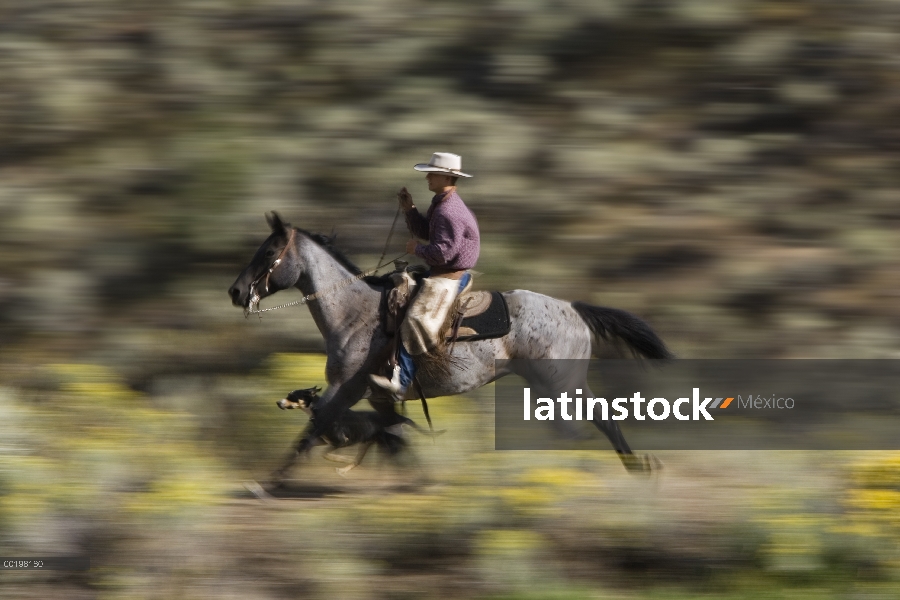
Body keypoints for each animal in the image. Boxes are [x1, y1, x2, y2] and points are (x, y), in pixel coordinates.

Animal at [278, 386, 440, 476]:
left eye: (291, 396)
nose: (278, 402)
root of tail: (401, 418)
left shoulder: (342, 441)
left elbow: (325, 454)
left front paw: (343, 458)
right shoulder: (322, 440)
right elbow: (307, 444)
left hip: (391, 445)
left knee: (409, 461)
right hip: (370, 444)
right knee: (360, 461)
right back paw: (345, 471)